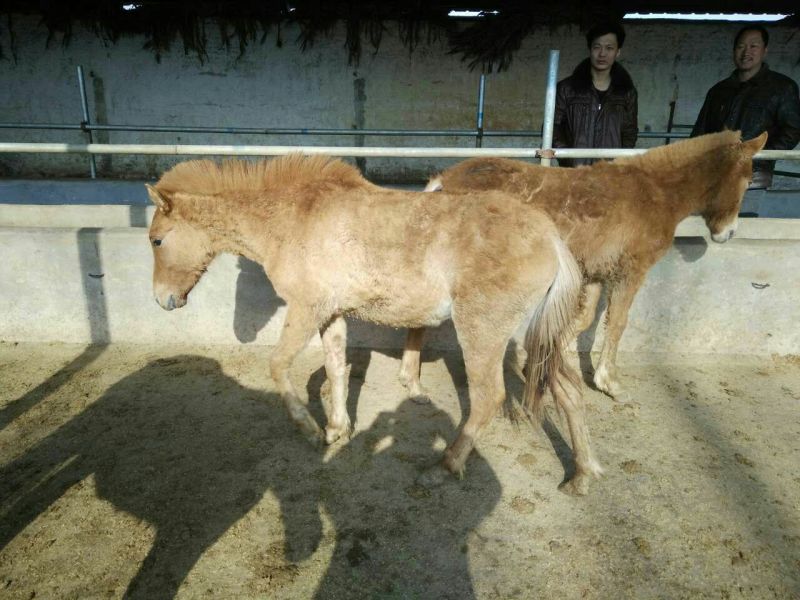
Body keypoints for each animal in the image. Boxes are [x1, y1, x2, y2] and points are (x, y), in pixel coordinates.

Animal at [145, 154, 602, 494]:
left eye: (156, 240)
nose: (163, 301)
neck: (294, 218)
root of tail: (550, 237)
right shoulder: (330, 315)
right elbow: (336, 368)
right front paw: (337, 429)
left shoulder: (306, 310)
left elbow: (278, 366)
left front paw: (311, 430)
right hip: (540, 338)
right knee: (569, 391)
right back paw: (581, 475)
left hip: (484, 333)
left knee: (488, 398)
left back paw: (443, 467)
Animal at [398, 131, 768, 401]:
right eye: (747, 181)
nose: (728, 233)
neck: (657, 194)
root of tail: (443, 180)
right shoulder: (630, 272)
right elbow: (617, 323)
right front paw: (609, 383)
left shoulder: (593, 273)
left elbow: (580, 321)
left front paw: (539, 365)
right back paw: (414, 384)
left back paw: (411, 381)